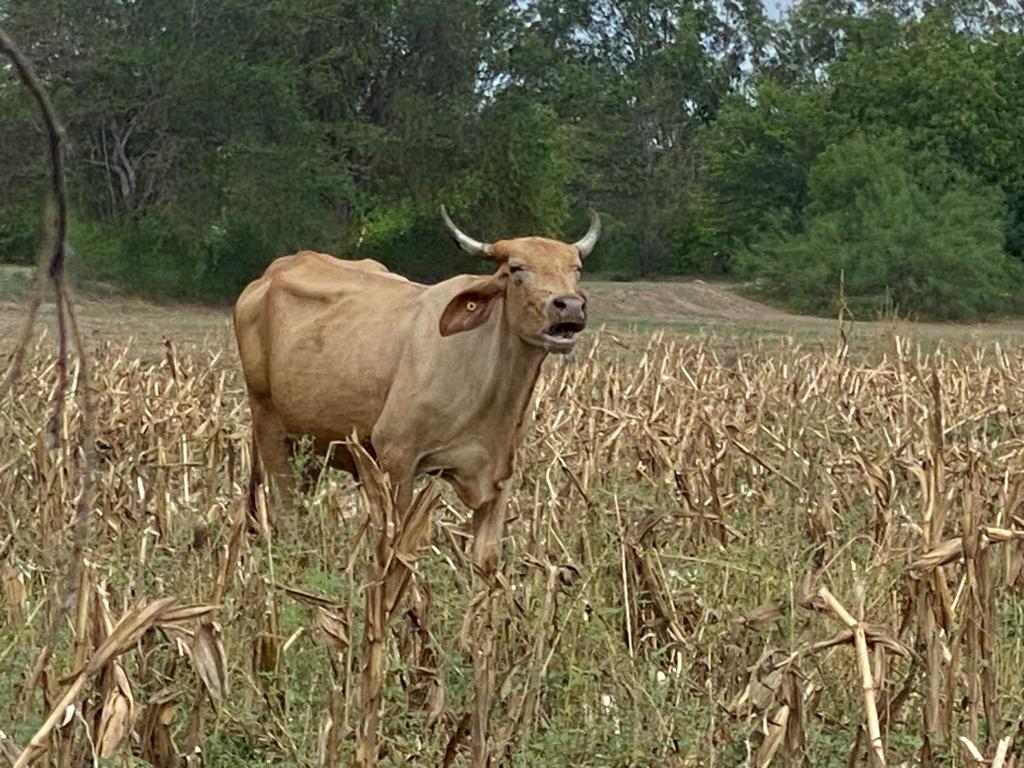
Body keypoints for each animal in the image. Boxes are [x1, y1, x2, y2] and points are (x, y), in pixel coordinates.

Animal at [232, 207, 600, 572]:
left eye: (575, 269)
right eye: (516, 269)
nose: (569, 305)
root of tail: (271, 274)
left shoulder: (499, 475)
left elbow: (485, 559)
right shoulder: (396, 457)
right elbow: (397, 550)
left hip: (311, 443)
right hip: (270, 428)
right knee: (285, 514)